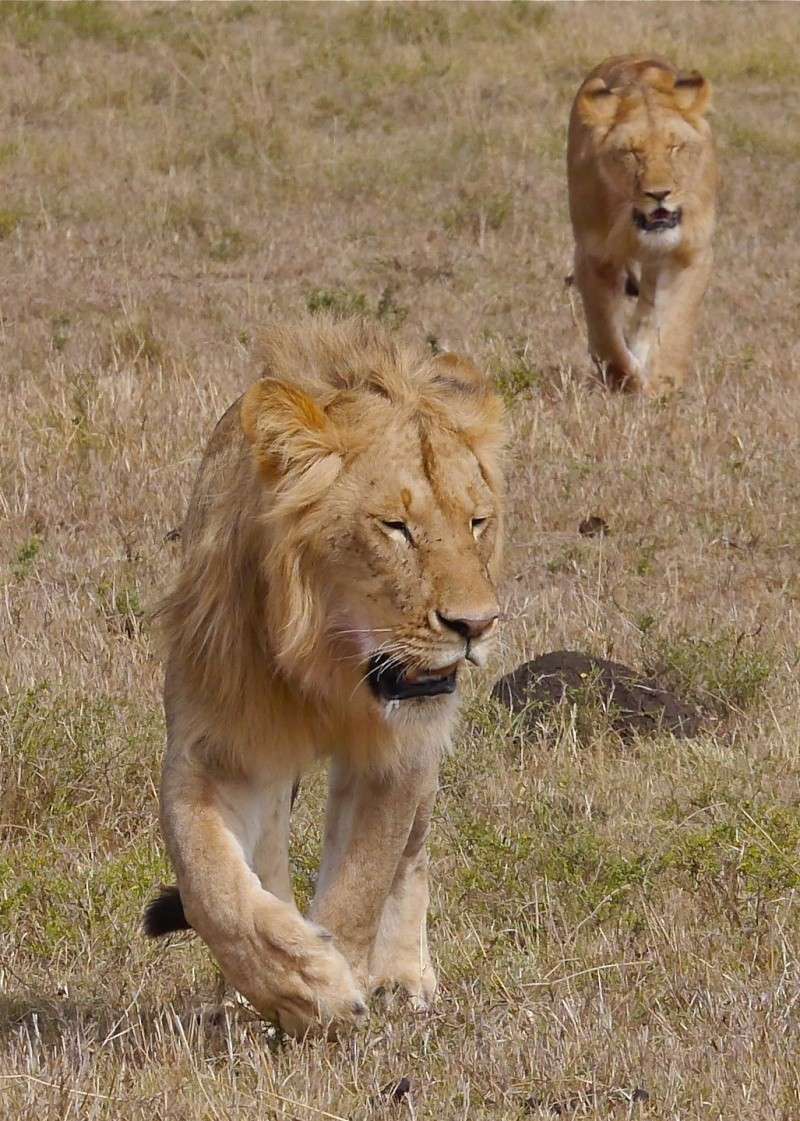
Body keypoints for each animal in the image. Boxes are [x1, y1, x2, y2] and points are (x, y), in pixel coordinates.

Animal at [143, 316, 504, 1031]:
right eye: (395, 527)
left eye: (477, 522)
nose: (475, 626)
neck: (329, 667)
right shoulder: (217, 747)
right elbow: (211, 887)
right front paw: (298, 982)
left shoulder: (398, 752)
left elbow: (363, 882)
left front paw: (338, 991)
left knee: (412, 854)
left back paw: (403, 976)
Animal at [564, 55, 712, 394]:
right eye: (631, 152)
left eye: (674, 147)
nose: (659, 194)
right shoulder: (594, 256)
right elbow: (606, 335)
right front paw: (624, 380)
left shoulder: (692, 252)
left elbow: (677, 322)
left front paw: (663, 384)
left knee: (648, 311)